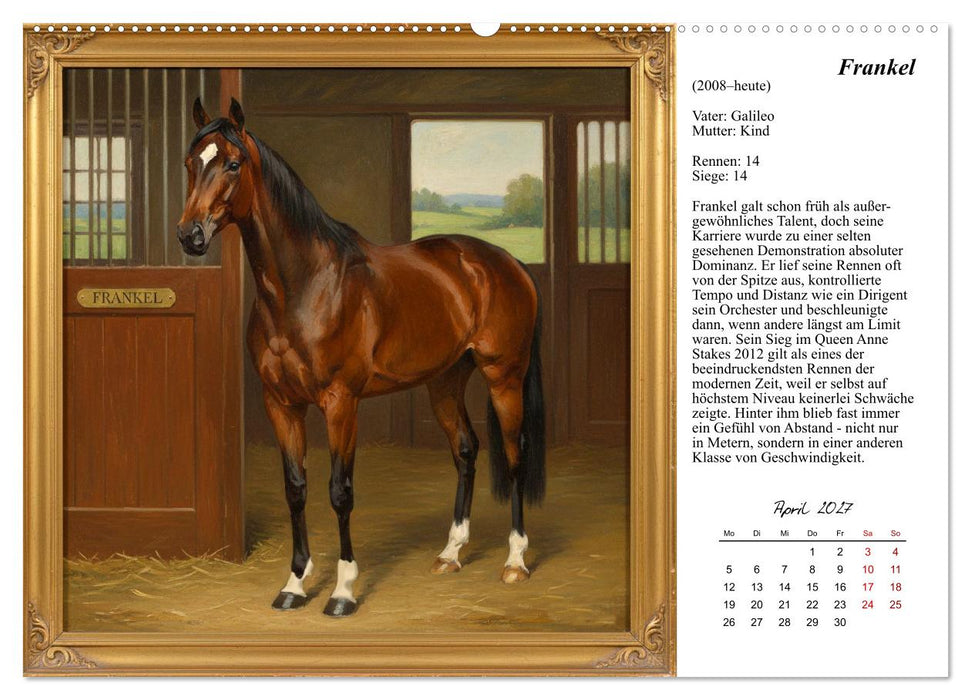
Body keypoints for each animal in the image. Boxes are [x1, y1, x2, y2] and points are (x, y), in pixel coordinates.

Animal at [177, 98, 545, 616]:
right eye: (192, 163)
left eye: (232, 163)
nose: (190, 235)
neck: (305, 285)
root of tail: (506, 264)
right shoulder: (281, 404)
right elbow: (296, 489)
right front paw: (294, 583)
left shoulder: (340, 404)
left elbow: (339, 492)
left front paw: (343, 590)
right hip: (445, 381)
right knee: (466, 451)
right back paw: (450, 553)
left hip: (503, 377)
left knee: (515, 457)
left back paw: (515, 561)